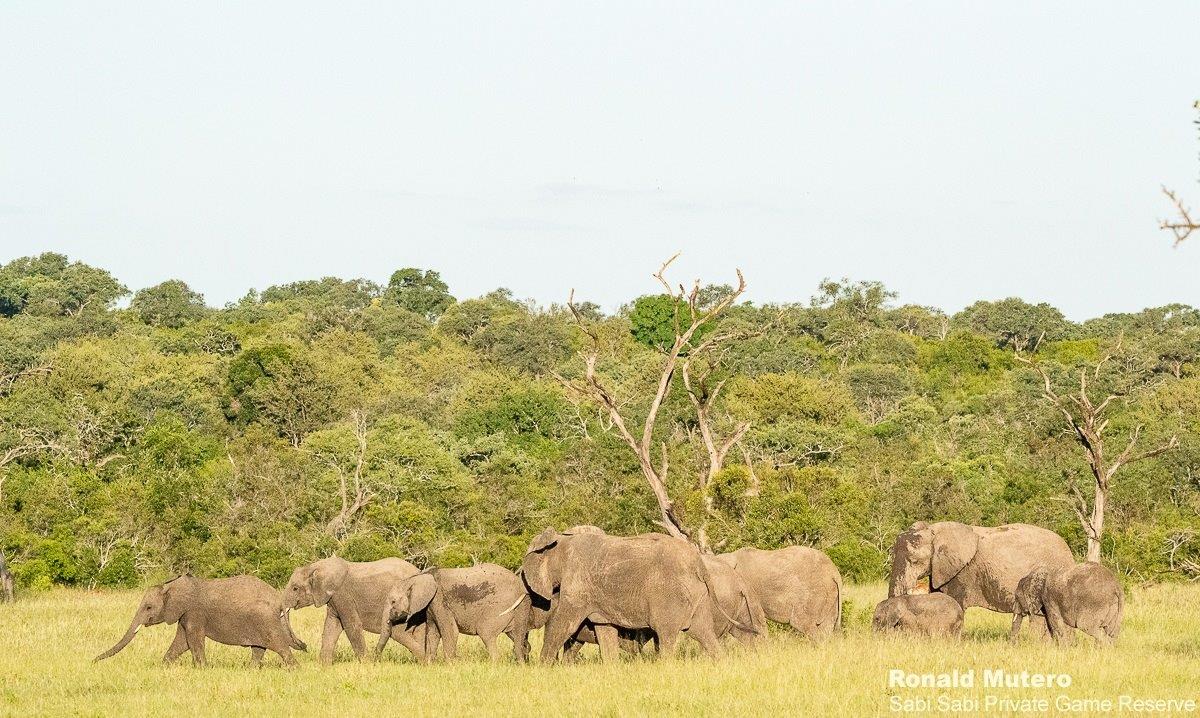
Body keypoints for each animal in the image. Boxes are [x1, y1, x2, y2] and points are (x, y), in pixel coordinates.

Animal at [94, 575, 306, 667]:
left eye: (148, 607)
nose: (93, 661)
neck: (172, 585)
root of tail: (279, 600)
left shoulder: (194, 613)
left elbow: (194, 640)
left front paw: (203, 669)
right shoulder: (183, 614)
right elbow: (182, 642)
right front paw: (165, 666)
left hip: (265, 619)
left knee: (278, 644)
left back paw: (293, 668)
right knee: (258, 649)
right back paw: (252, 670)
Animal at [281, 556, 426, 664]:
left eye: (295, 588)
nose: (305, 646)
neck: (315, 566)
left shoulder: (343, 595)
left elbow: (351, 625)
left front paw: (366, 664)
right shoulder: (333, 598)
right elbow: (331, 626)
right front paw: (323, 666)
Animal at [376, 563, 531, 662]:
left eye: (393, 602)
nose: (375, 659)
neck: (416, 577)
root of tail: (520, 587)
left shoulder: (439, 600)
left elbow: (450, 631)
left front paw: (450, 666)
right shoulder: (430, 607)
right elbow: (432, 633)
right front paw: (429, 664)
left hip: (499, 605)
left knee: (486, 632)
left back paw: (495, 664)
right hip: (523, 607)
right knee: (517, 636)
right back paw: (521, 664)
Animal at [522, 528, 751, 662]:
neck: (562, 540)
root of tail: (698, 562)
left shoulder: (577, 585)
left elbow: (563, 624)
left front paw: (541, 668)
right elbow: (605, 630)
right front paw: (611, 669)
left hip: (670, 595)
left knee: (666, 634)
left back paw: (666, 668)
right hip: (697, 595)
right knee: (703, 632)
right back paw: (721, 664)